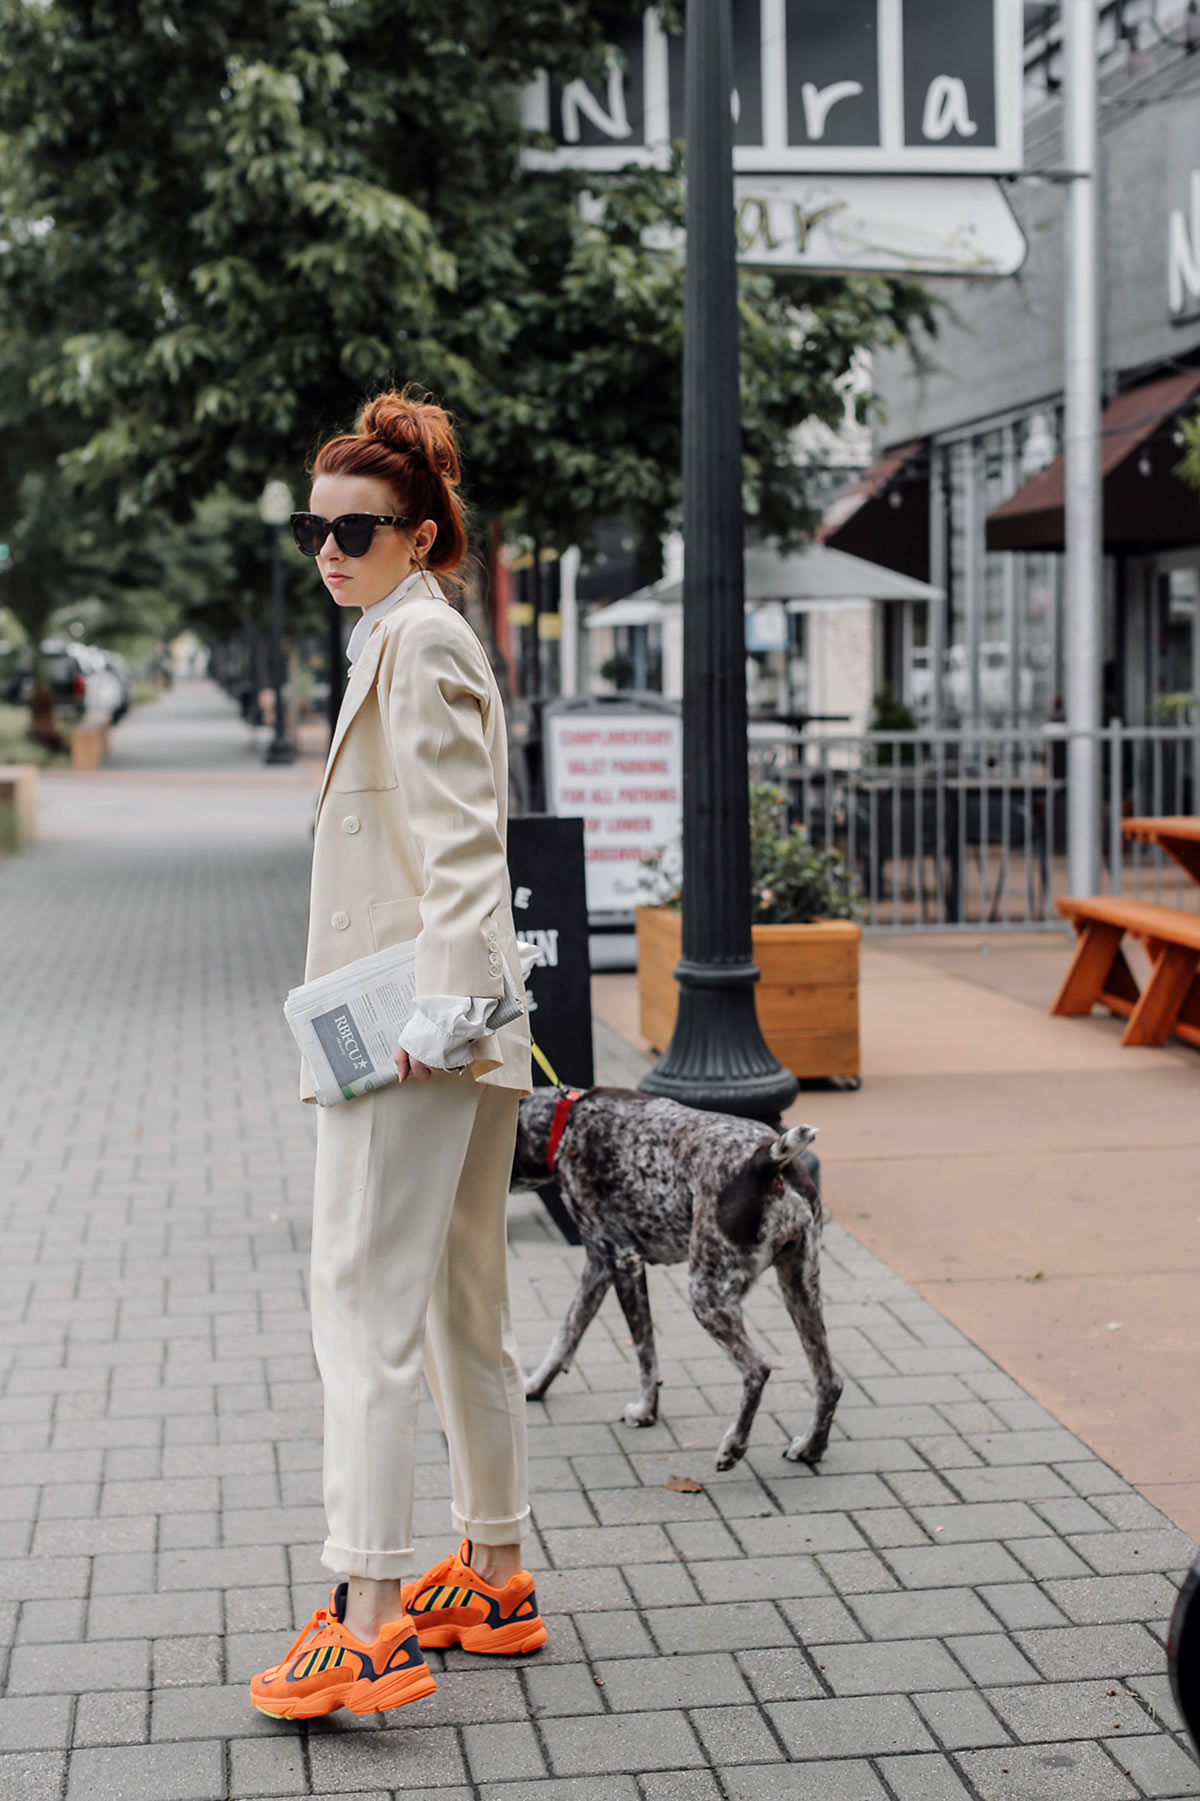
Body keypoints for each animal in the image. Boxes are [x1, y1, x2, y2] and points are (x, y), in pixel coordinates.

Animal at [508, 1087, 836, 1469]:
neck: (565, 1123)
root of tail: (765, 1160)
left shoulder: (623, 1262)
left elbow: (645, 1354)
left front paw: (645, 1411)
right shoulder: (599, 1264)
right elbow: (566, 1334)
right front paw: (534, 1385)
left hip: (707, 1295)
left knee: (758, 1369)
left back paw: (734, 1445)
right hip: (800, 1286)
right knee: (829, 1380)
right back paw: (811, 1446)